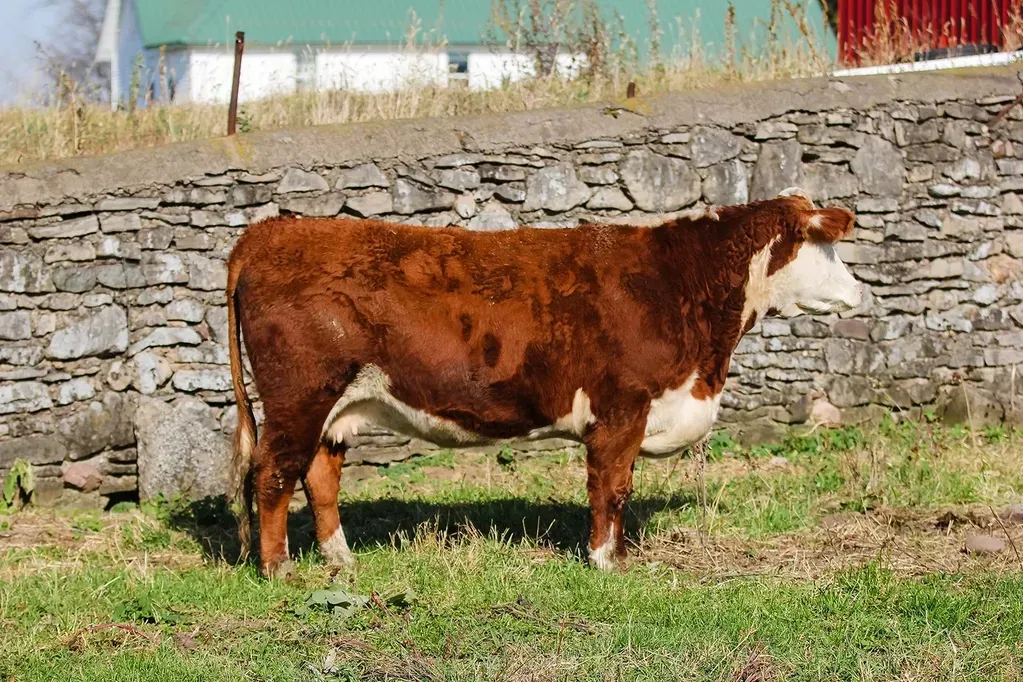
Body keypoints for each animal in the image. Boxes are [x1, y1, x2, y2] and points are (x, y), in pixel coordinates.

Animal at [225, 190, 862, 578]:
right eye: (827, 247)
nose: (861, 292)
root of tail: (266, 233)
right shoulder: (621, 409)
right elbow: (612, 488)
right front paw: (607, 562)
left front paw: (615, 556)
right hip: (299, 395)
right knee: (272, 473)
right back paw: (279, 570)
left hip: (336, 405)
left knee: (318, 476)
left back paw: (341, 561)